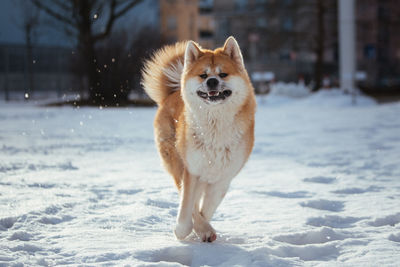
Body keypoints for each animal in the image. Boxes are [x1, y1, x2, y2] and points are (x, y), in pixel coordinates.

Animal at [142, 36, 255, 243]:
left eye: (223, 74)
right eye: (203, 75)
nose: (212, 81)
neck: (215, 126)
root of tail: (171, 94)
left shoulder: (222, 177)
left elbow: (206, 209)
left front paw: (203, 229)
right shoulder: (192, 170)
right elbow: (188, 205)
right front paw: (186, 230)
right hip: (175, 160)